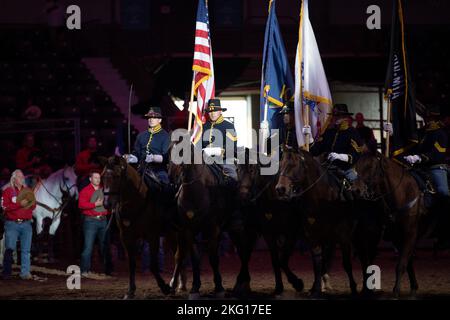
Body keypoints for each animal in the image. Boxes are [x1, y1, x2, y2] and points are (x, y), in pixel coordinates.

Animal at [101, 156, 171, 298]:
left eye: (117, 176)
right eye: (103, 175)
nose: (106, 203)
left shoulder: (153, 236)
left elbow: (153, 265)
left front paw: (164, 287)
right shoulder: (126, 237)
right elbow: (132, 263)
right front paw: (130, 291)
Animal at [274, 149, 358, 296]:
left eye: (294, 164)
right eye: (281, 163)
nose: (280, 189)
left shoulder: (344, 236)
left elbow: (346, 263)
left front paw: (353, 287)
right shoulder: (311, 235)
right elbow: (316, 261)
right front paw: (313, 288)